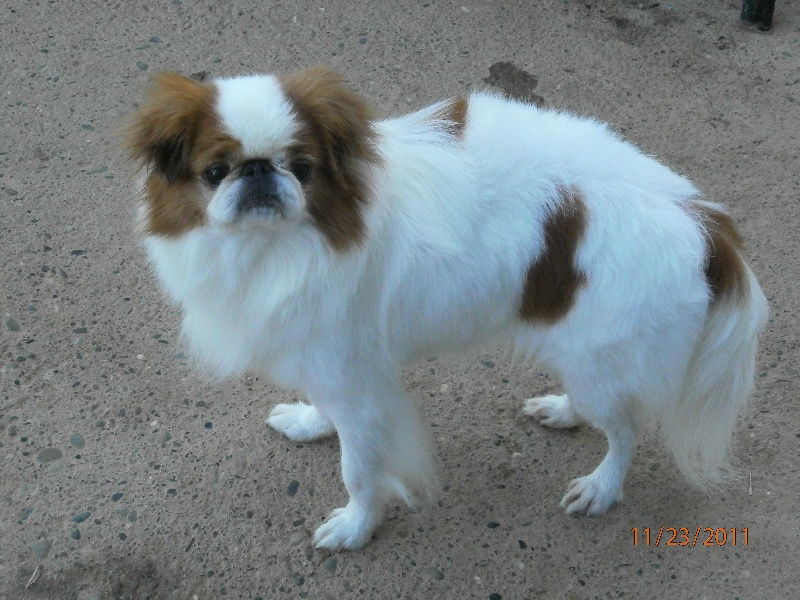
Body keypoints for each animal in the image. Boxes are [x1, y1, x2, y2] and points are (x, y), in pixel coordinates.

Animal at [123, 67, 768, 550]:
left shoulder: (355, 373)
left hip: (602, 356)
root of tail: (702, 220)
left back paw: (602, 487)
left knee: (626, 429)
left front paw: (355, 526)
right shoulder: (329, 358)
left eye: (301, 168)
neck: (275, 247)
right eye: (214, 172)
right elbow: (328, 409)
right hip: (585, 352)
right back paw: (563, 411)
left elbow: (360, 467)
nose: (258, 171)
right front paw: (311, 424)